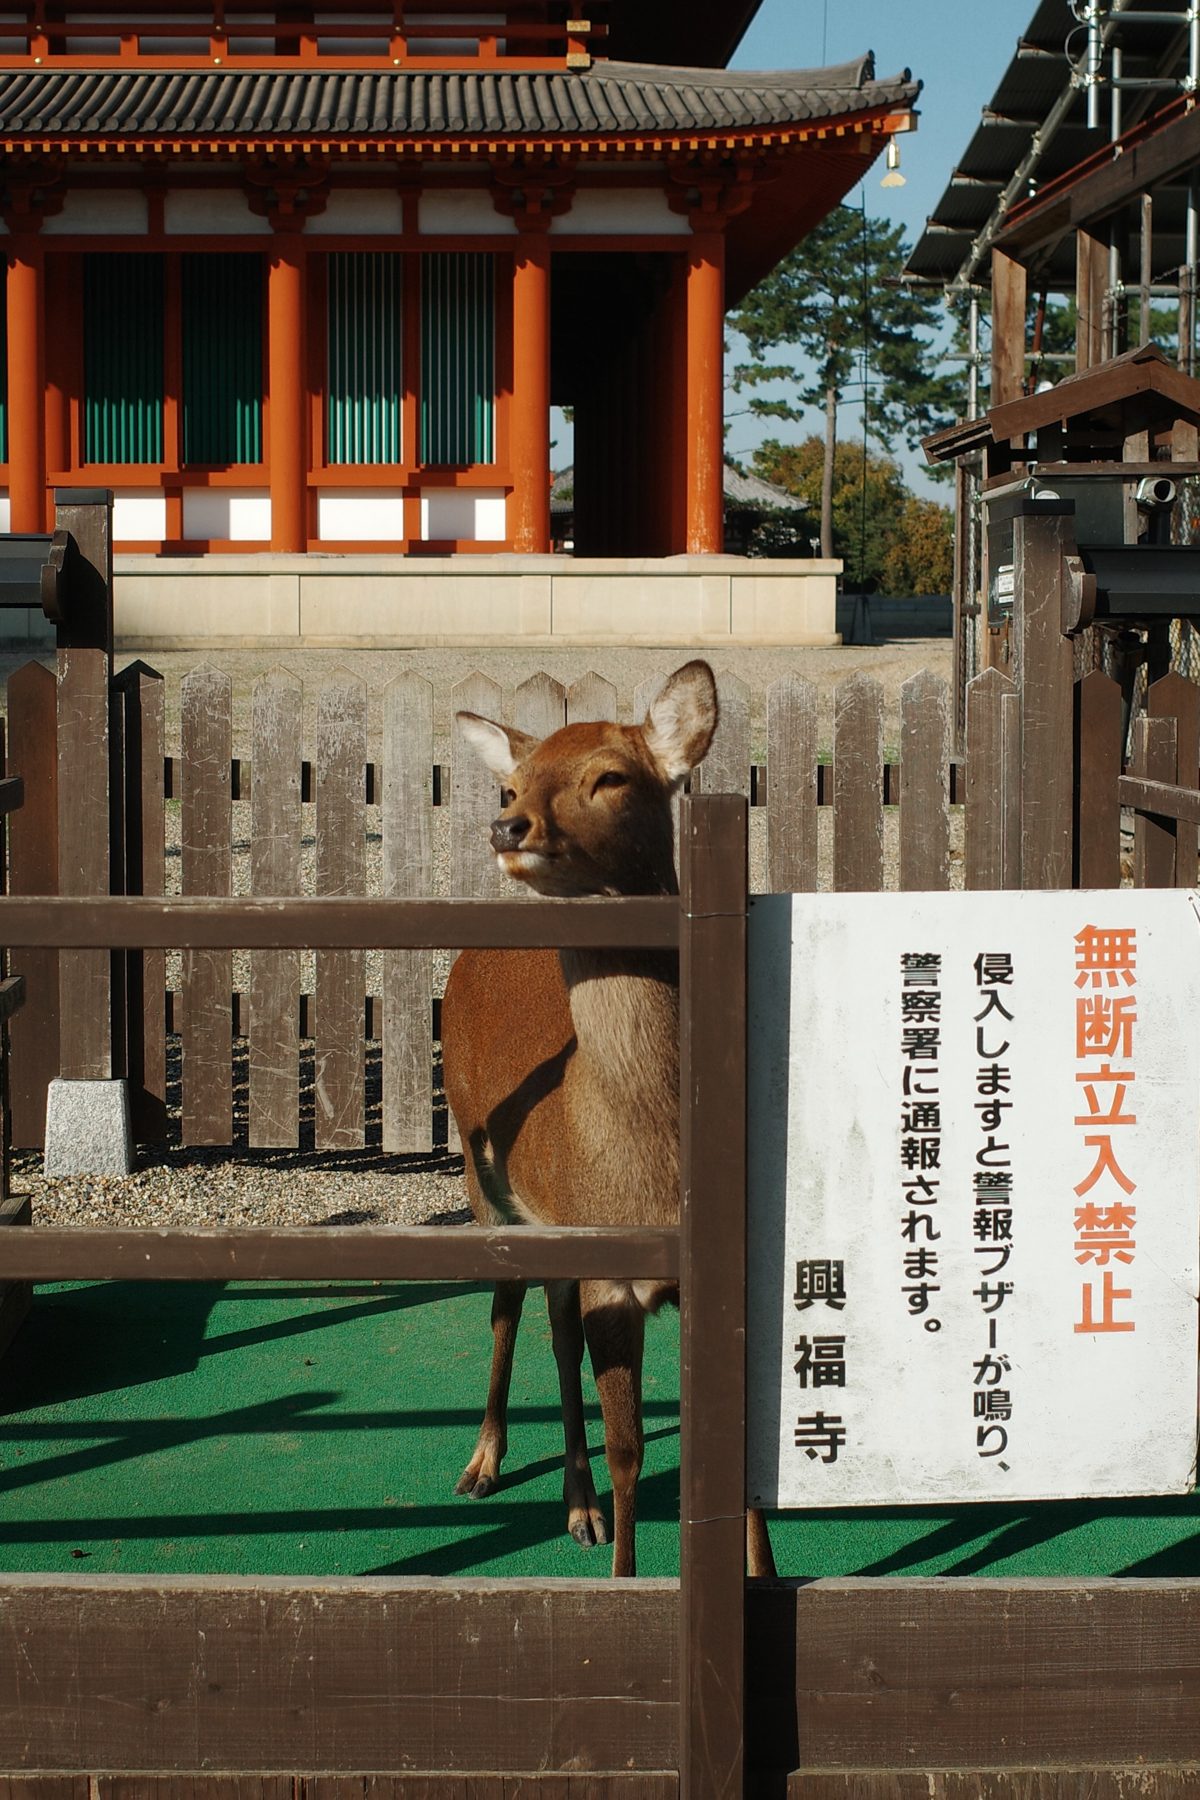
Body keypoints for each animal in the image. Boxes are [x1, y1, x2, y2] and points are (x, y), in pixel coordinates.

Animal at [441, 660, 774, 1579]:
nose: (506, 823)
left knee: (556, 1329)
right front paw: (626, 1581)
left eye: (611, 777)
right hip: (478, 1172)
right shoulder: (613, 1275)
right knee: (506, 1308)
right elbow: (633, 1452)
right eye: (511, 782)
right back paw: (485, 1463)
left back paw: (576, 1504)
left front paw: (765, 1576)